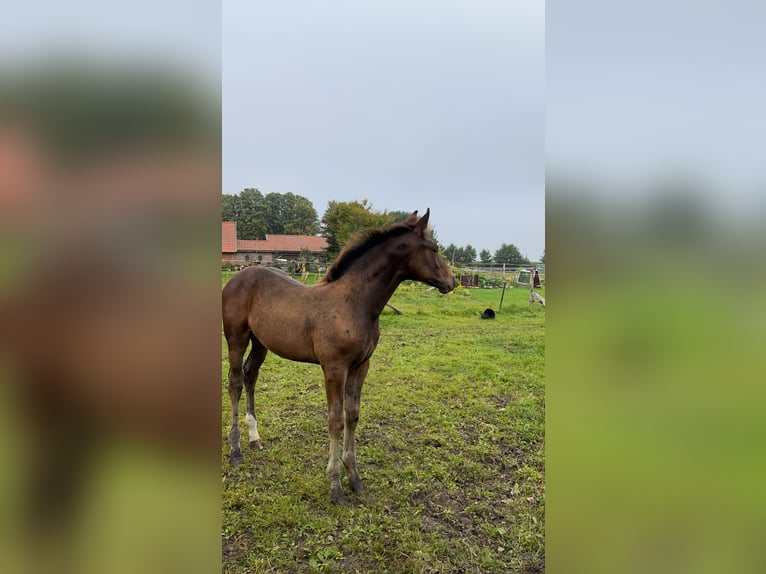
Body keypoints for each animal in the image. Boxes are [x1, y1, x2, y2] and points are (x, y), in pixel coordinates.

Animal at [225, 210, 460, 504]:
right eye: (434, 249)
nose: (452, 282)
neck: (355, 303)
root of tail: (237, 277)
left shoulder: (361, 365)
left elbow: (353, 414)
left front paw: (354, 477)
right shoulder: (334, 368)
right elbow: (335, 420)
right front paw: (335, 486)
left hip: (261, 343)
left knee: (250, 376)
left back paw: (254, 437)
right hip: (236, 338)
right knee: (235, 382)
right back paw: (235, 451)